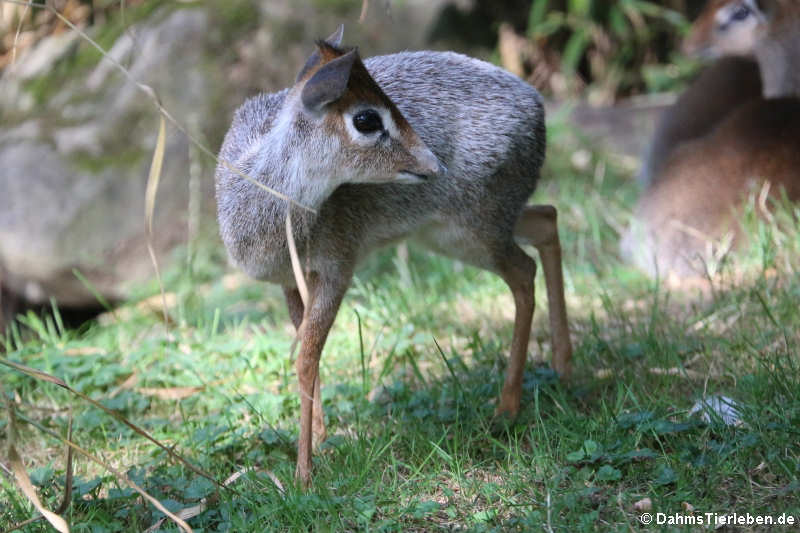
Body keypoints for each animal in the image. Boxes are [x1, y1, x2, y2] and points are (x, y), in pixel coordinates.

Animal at [216, 27, 572, 484]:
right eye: (367, 118)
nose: (432, 163)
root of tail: (537, 106)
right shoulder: (290, 281)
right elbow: (306, 353)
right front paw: (321, 442)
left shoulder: (338, 268)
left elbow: (306, 359)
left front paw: (303, 475)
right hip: (461, 228)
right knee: (547, 219)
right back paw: (563, 367)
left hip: (475, 230)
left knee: (524, 271)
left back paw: (507, 407)